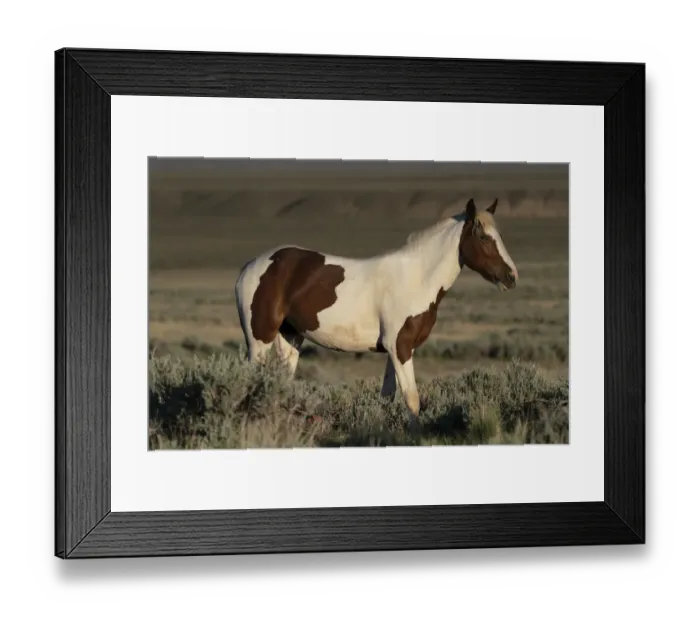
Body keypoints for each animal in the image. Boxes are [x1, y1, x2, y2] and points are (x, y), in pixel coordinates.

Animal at [234, 197, 519, 421]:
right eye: (483, 237)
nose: (511, 276)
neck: (416, 278)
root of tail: (250, 266)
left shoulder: (397, 350)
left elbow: (388, 398)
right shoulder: (400, 348)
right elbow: (412, 401)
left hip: (291, 338)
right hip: (259, 341)